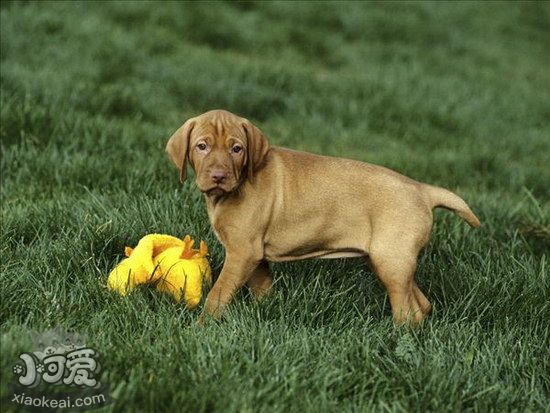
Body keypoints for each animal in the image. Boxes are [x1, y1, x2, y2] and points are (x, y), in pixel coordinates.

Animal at [166, 109, 480, 326]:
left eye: (237, 149)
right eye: (202, 146)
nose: (219, 176)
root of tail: (422, 189)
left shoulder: (243, 252)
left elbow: (218, 294)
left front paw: (201, 327)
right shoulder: (253, 253)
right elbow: (262, 286)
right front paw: (265, 310)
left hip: (391, 261)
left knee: (408, 311)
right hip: (393, 260)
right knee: (422, 304)